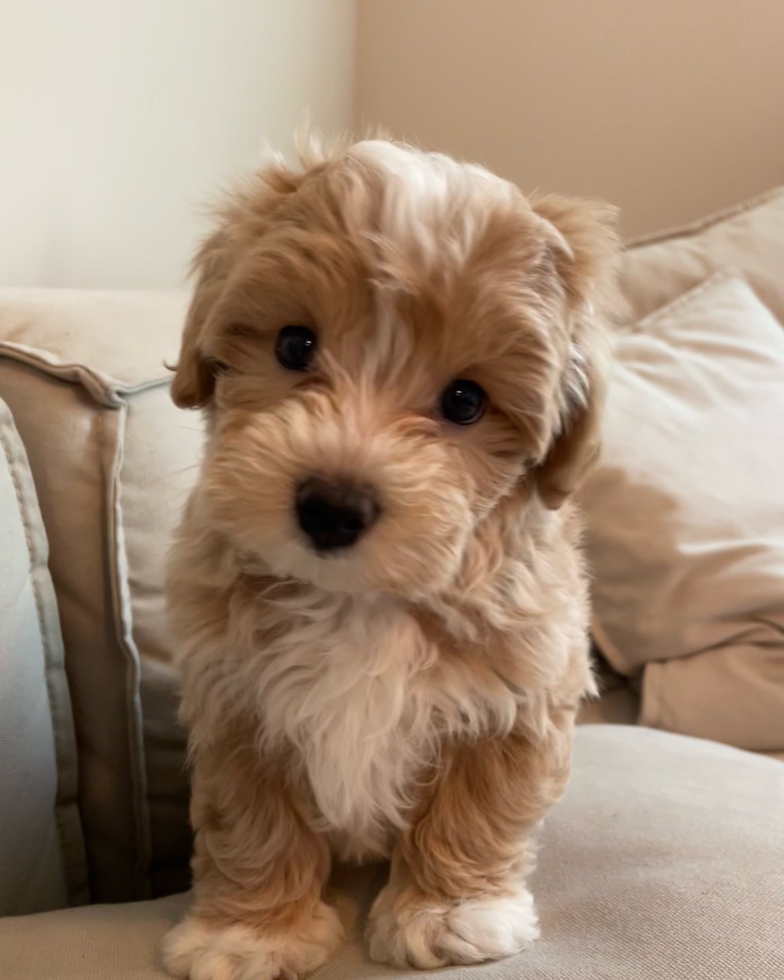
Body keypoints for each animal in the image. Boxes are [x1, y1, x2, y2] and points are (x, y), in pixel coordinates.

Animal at [164, 138, 620, 980]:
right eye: (294, 344)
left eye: (466, 401)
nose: (333, 505)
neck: (359, 598)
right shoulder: (234, 699)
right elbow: (251, 819)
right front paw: (248, 932)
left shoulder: (517, 694)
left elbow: (478, 806)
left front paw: (450, 913)